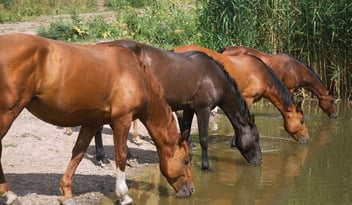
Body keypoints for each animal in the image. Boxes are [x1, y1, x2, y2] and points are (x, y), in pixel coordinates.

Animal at [0, 33, 194, 205]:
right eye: (185, 160)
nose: (191, 189)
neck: (136, 76)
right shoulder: (122, 120)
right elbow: (121, 156)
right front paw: (123, 195)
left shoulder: (92, 123)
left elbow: (78, 153)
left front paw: (66, 193)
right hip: (7, 114)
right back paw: (9, 194)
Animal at [97, 39, 262, 171]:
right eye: (256, 138)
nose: (259, 160)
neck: (212, 76)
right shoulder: (203, 109)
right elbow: (203, 139)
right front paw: (206, 166)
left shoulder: (188, 108)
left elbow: (186, 134)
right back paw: (102, 158)